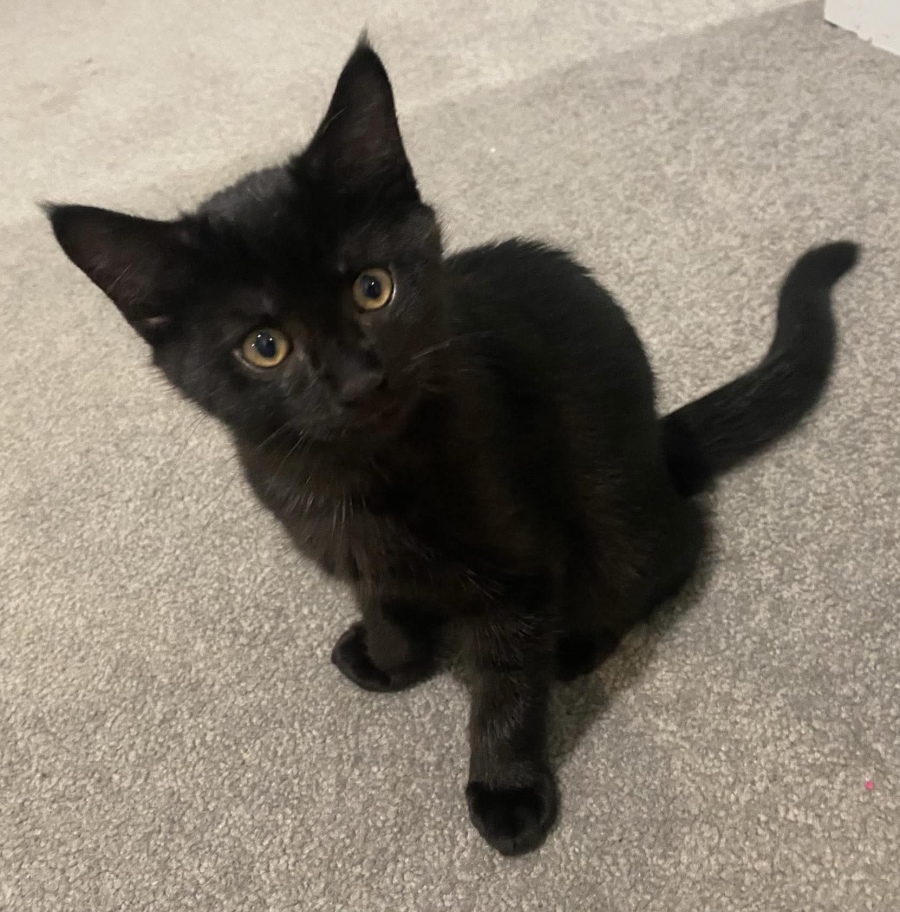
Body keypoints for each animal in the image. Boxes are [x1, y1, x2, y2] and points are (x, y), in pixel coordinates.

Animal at [48, 39, 858, 856]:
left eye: (374, 289)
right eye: (265, 347)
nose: (358, 379)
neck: (362, 478)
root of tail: (660, 440)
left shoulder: (520, 567)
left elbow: (505, 681)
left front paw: (507, 788)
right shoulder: (356, 556)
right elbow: (383, 603)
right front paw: (391, 658)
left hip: (616, 514)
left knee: (668, 551)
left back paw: (580, 644)